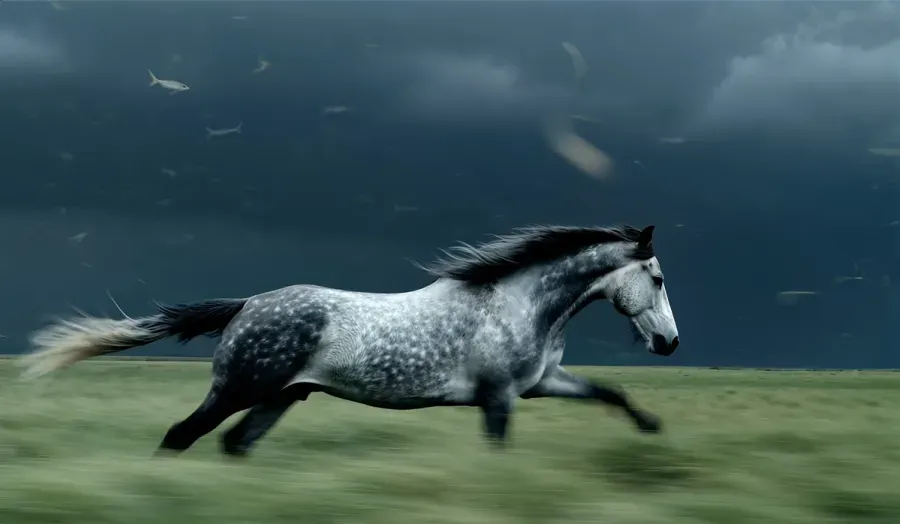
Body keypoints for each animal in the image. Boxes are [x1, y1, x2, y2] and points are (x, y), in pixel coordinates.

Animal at [21, 223, 680, 457]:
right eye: (657, 277)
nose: (670, 344)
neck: (519, 305)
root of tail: (246, 305)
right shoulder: (498, 397)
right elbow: (498, 450)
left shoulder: (541, 384)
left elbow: (611, 393)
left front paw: (652, 429)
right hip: (238, 389)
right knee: (181, 435)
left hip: (279, 397)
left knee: (234, 444)